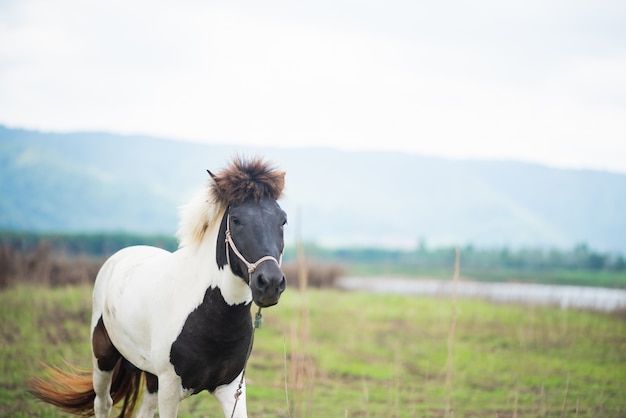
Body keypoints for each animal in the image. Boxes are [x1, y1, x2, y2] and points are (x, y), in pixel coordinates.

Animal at [30, 158, 288, 418]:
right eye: (235, 219)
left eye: (283, 220)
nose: (270, 283)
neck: (210, 316)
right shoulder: (170, 389)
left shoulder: (232, 388)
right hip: (103, 357)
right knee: (103, 403)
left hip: (151, 378)